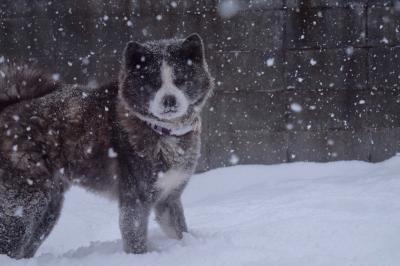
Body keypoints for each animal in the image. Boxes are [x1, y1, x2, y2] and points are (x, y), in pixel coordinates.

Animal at [0, 32, 214, 258]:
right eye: (153, 83)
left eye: (181, 80)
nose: (169, 101)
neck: (162, 131)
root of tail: (8, 107)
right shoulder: (134, 201)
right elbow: (136, 241)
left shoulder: (169, 199)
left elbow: (180, 231)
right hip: (25, 204)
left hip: (49, 208)